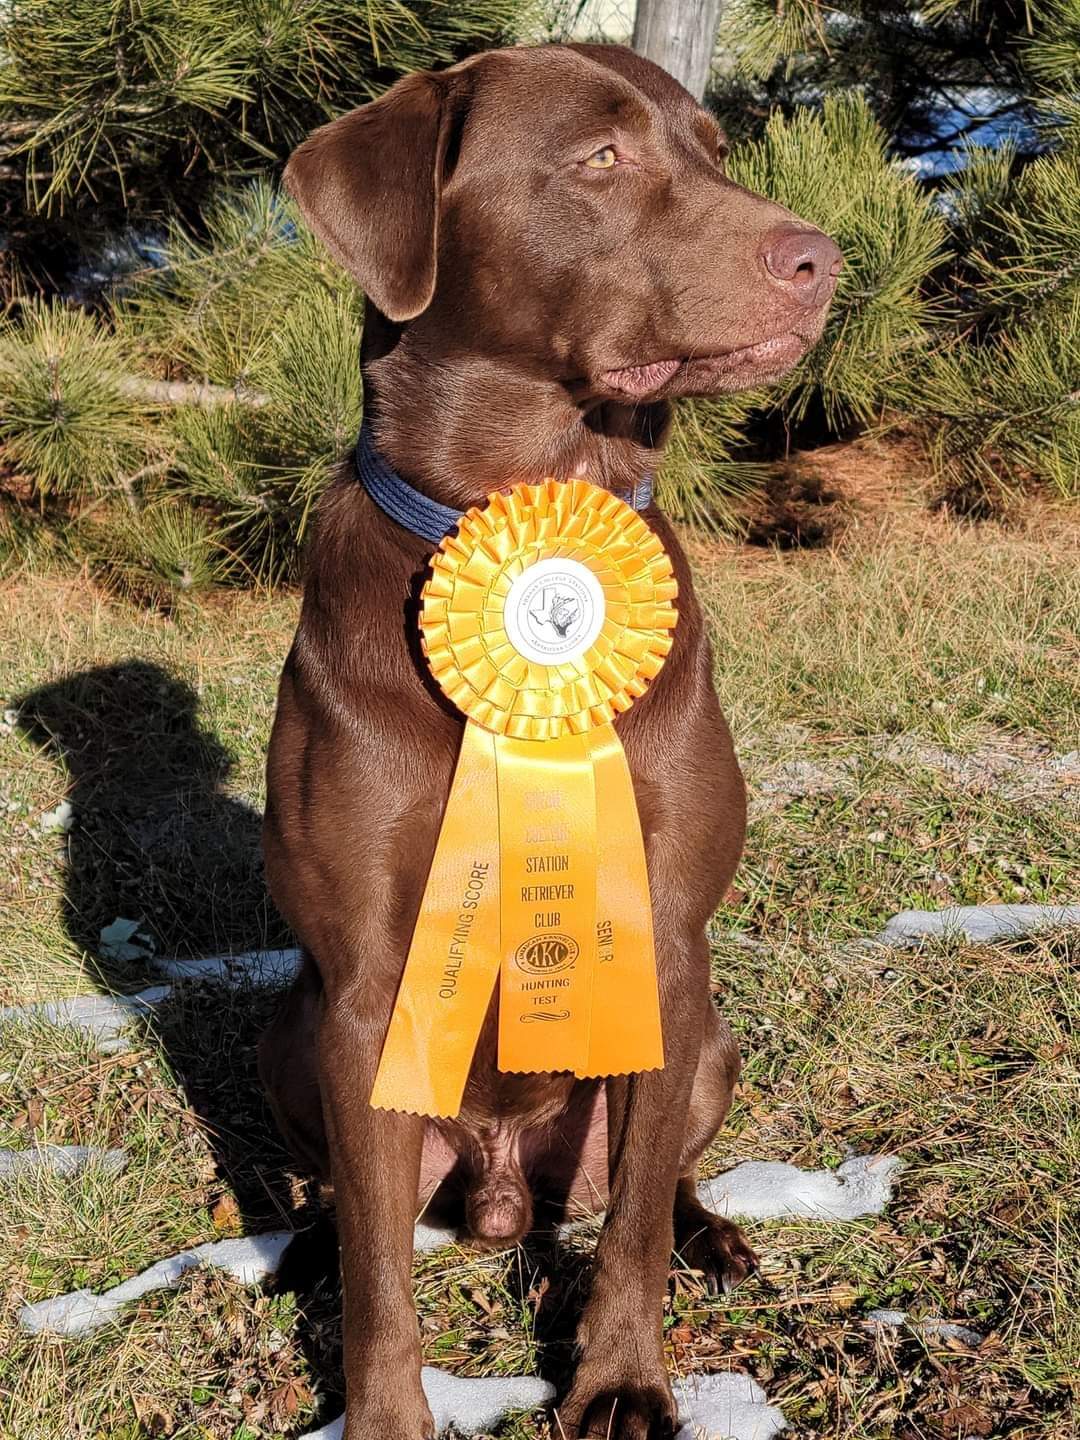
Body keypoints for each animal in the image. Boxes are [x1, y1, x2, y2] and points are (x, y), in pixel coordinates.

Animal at [257, 39, 840, 1440]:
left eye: (714, 148)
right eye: (600, 158)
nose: (826, 259)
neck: (529, 498)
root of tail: (502, 1186)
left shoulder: (668, 941)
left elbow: (629, 1227)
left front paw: (621, 1380)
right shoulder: (364, 987)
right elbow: (379, 1278)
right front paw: (385, 1416)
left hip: (707, 1037)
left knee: (651, 1176)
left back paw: (716, 1234)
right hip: (289, 1039)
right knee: (355, 1206)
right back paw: (301, 1245)